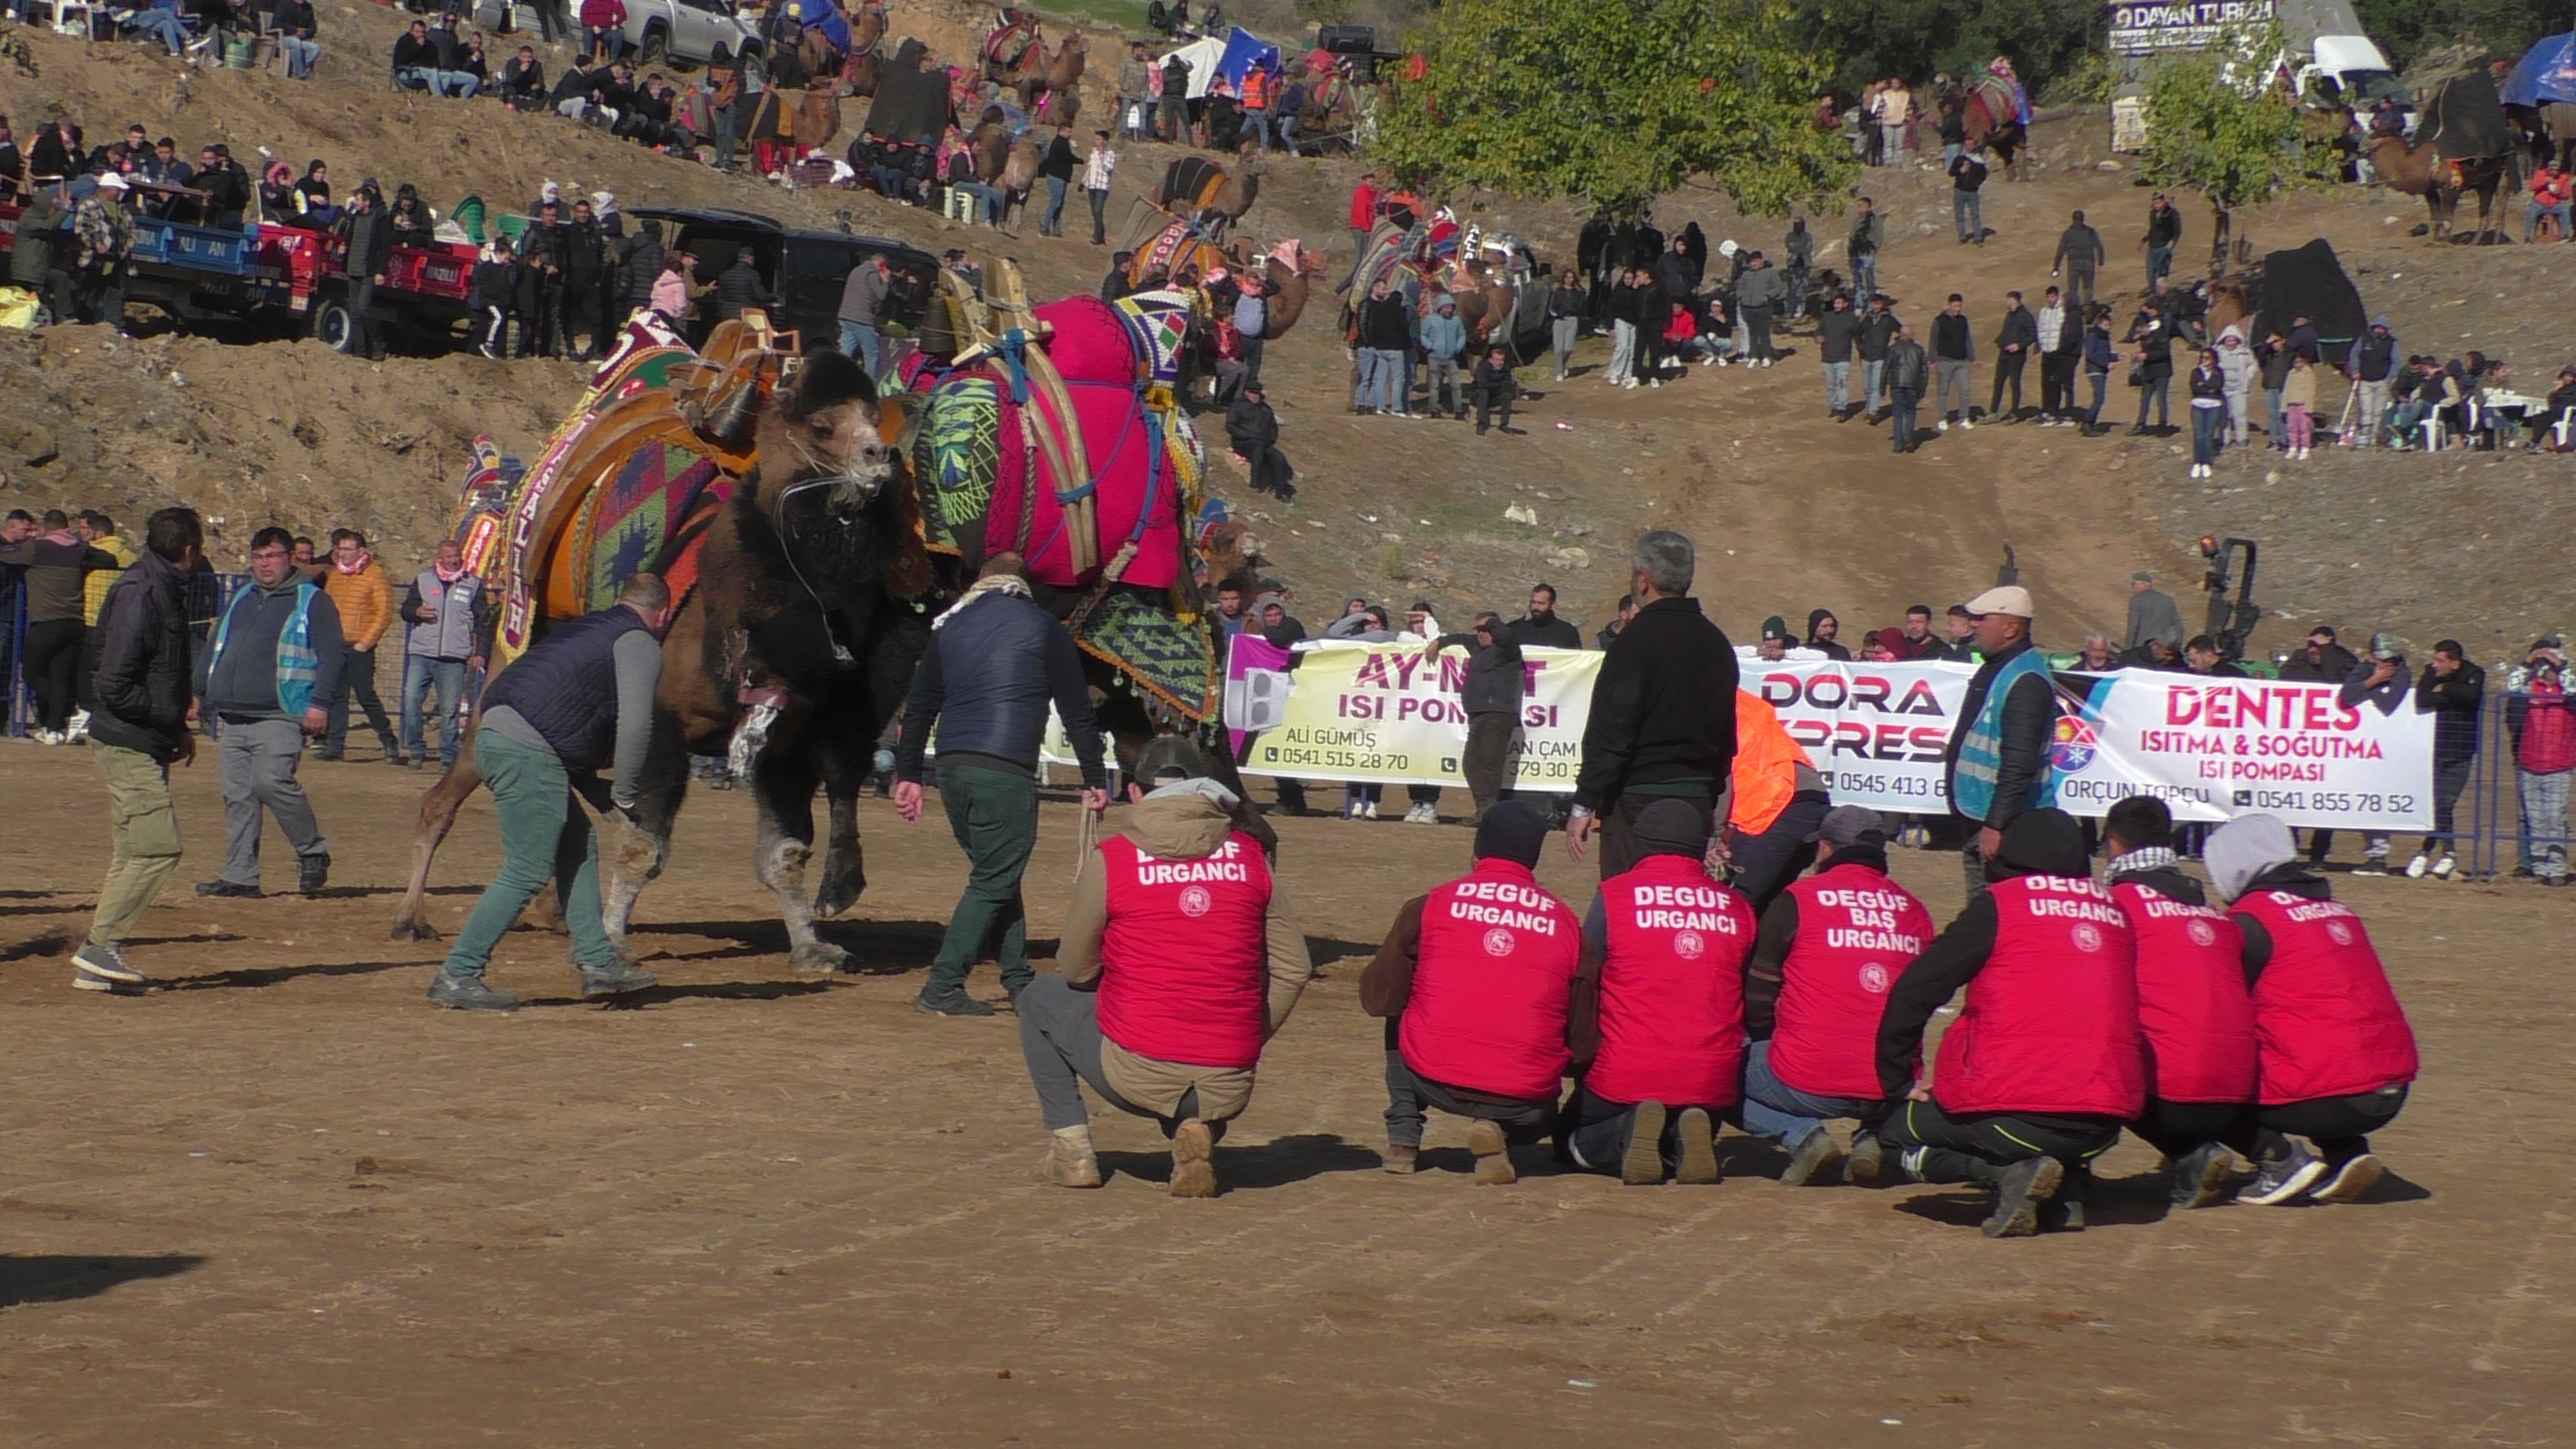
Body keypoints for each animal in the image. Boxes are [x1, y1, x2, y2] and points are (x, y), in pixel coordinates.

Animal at [391, 348, 927, 969]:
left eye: (873, 416)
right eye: (821, 425)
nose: (880, 457)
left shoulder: (785, 745)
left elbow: (784, 854)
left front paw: (814, 947)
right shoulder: (662, 724)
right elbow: (644, 848)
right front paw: (614, 943)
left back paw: (549, 910)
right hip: (504, 681)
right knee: (445, 797)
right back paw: (410, 919)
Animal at [2370, 134, 2514, 241]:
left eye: (2376, 138)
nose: (2365, 146)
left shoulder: (2451, 187)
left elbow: (2447, 219)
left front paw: (2446, 243)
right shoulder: (2430, 189)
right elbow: (2436, 218)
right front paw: (2435, 241)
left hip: (2497, 177)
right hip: (2490, 180)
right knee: (2491, 211)